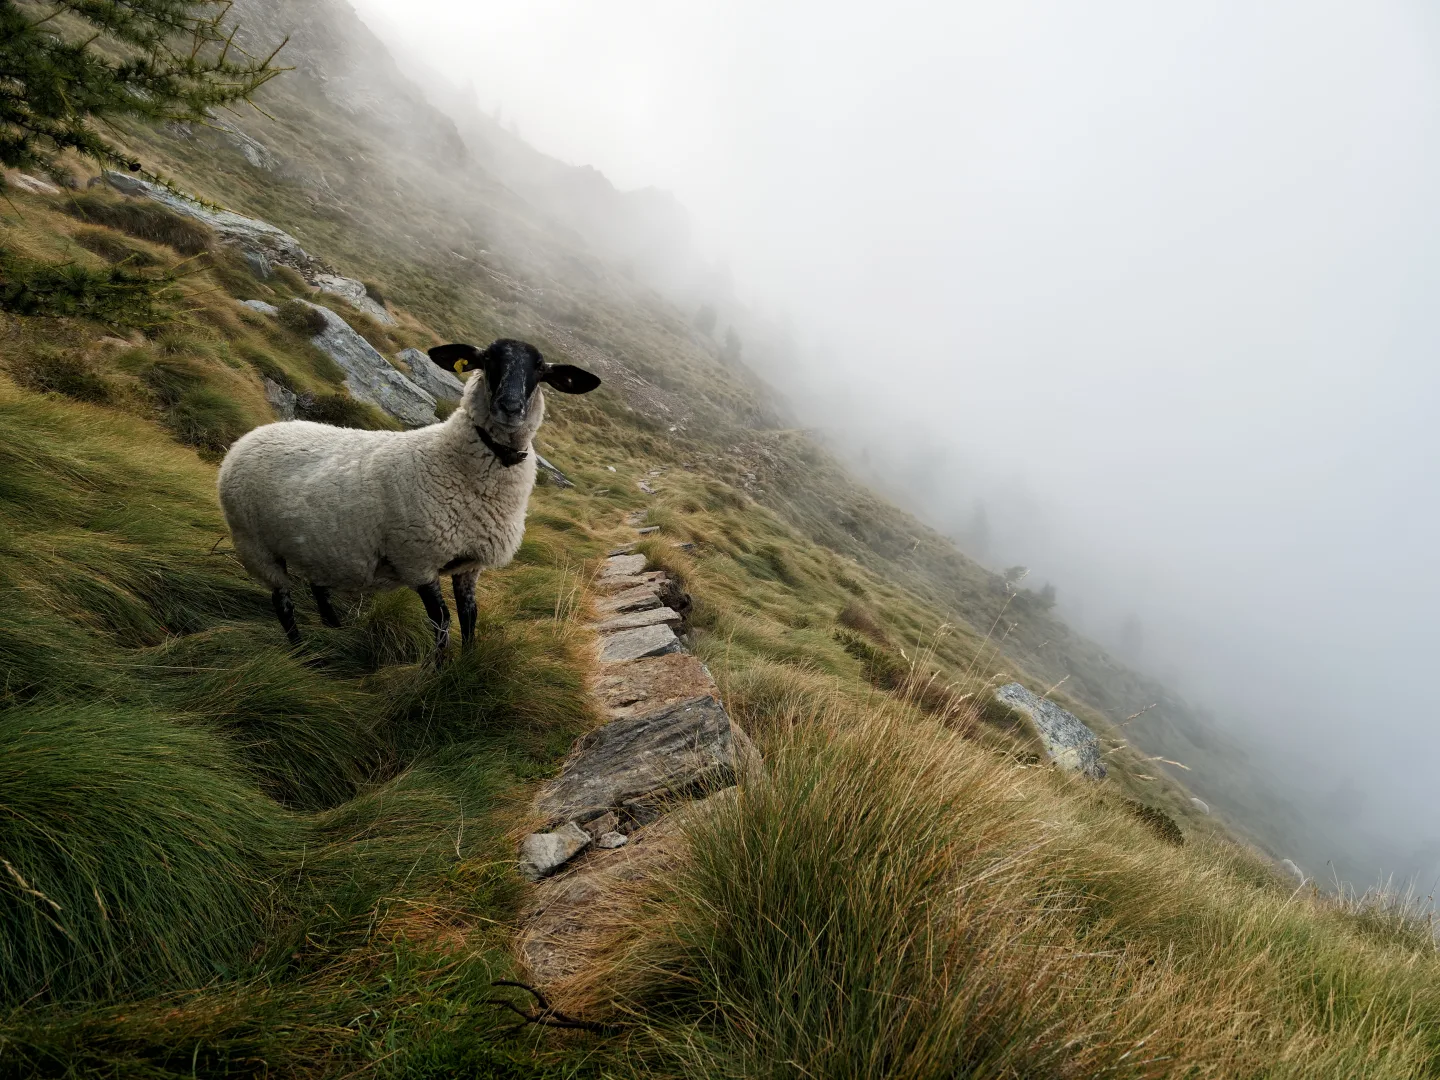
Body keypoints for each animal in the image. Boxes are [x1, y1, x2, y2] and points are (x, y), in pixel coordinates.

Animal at [216, 342, 599, 656]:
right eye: (488, 358)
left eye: (541, 369)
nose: (510, 406)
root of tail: (250, 436)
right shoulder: (418, 560)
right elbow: (441, 622)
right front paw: (437, 675)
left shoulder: (469, 564)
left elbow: (470, 616)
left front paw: (466, 666)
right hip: (255, 546)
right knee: (282, 602)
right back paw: (300, 652)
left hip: (318, 544)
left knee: (318, 586)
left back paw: (335, 629)